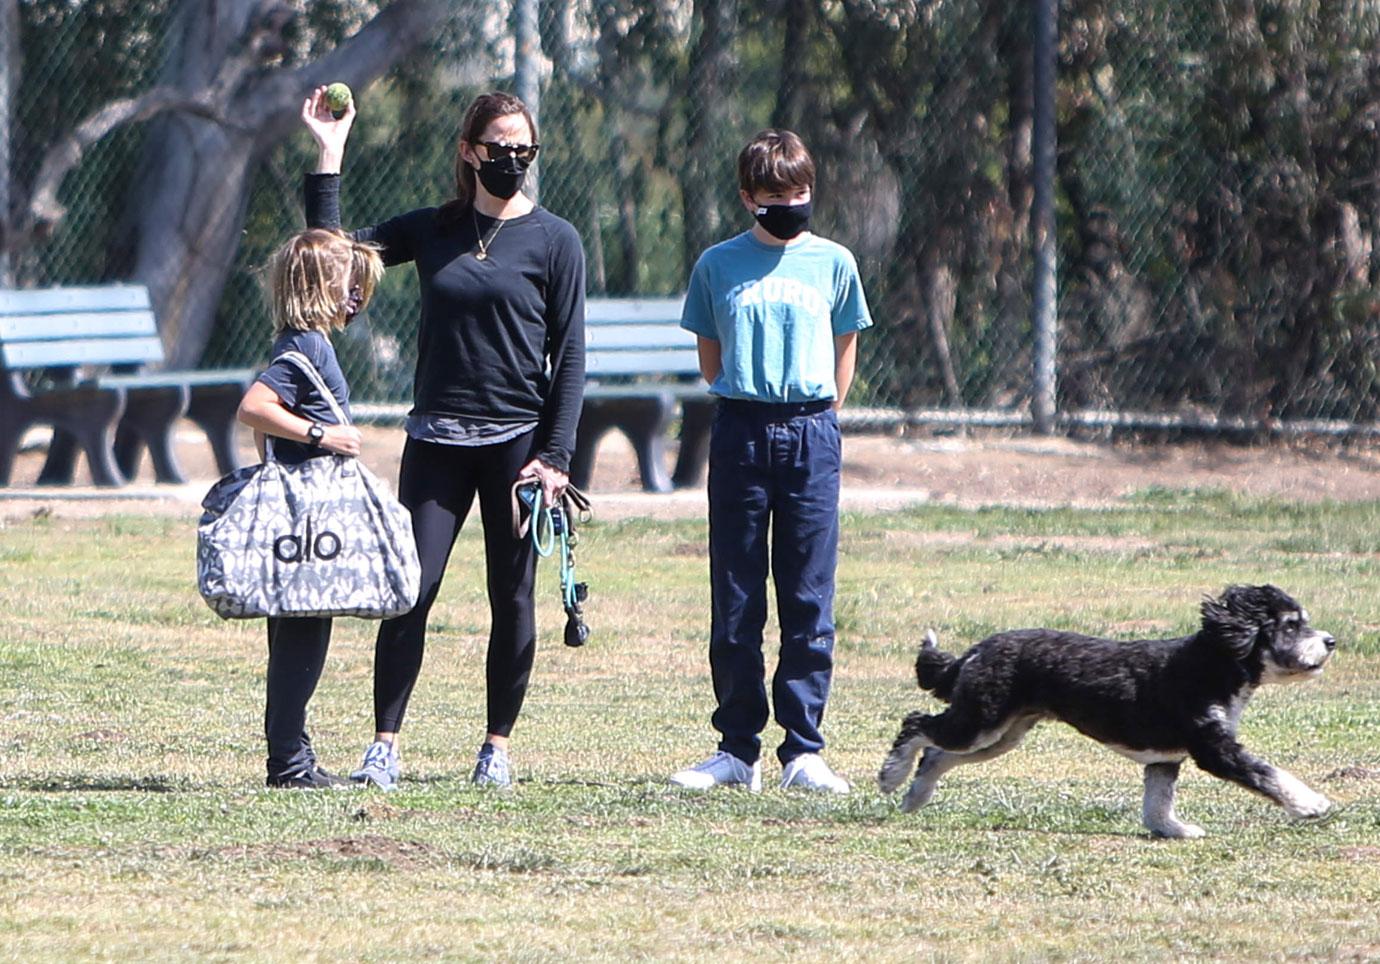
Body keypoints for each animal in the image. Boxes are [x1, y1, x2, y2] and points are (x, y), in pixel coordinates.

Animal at [883, 584, 1335, 838]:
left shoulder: (1165, 757)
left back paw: (915, 797)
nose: (1330, 641)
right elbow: (1269, 774)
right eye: (1290, 625)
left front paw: (1173, 830)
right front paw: (1311, 804)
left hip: (1000, 733)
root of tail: (976, 650)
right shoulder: (1214, 749)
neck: (1210, 663)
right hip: (981, 720)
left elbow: (1157, 803)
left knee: (936, 753)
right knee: (916, 724)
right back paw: (892, 777)